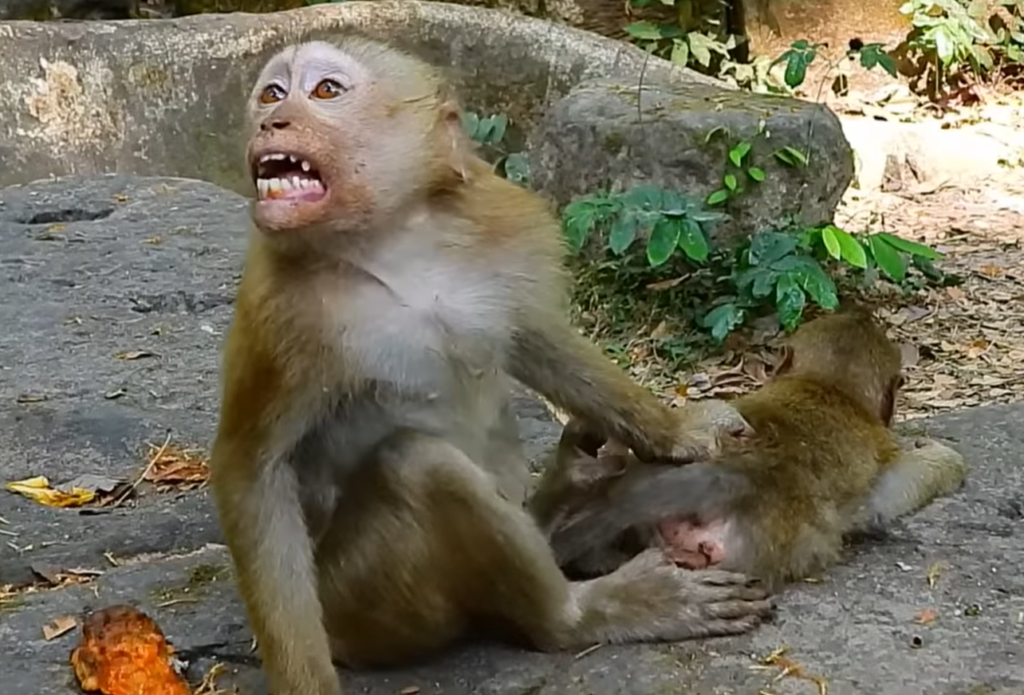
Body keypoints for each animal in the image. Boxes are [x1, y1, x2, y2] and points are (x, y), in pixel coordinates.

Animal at [208, 37, 771, 695]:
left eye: (324, 91)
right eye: (272, 93)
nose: (272, 120)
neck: (391, 247)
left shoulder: (493, 226)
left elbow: (534, 338)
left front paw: (678, 431)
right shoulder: (281, 311)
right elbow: (254, 470)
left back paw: (566, 490)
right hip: (363, 602)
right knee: (420, 466)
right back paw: (578, 615)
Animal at [539, 311, 969, 590]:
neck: (829, 386)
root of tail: (741, 474)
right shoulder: (882, 446)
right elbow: (890, 495)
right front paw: (942, 457)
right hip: (769, 550)